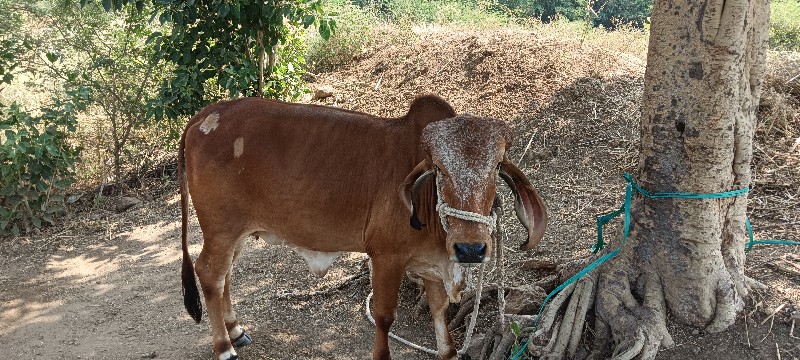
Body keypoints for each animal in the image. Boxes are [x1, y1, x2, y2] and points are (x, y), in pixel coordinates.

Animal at [178, 94, 548, 358]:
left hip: (236, 233)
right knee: (209, 273)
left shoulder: (433, 264)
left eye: (496, 166)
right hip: (221, 229)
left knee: (224, 276)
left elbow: (440, 316)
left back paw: (235, 330)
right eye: (439, 169)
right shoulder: (385, 257)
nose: (470, 248)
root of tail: (204, 115)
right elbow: (384, 316)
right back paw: (224, 347)